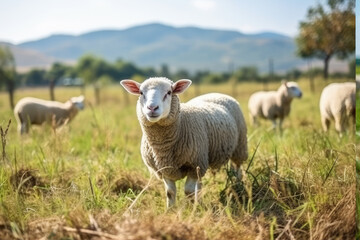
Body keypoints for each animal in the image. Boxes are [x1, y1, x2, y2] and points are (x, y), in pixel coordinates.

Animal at [121, 77, 248, 208]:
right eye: (141, 93)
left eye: (169, 92)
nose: (152, 108)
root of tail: (216, 93)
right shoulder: (164, 169)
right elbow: (170, 192)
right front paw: (170, 210)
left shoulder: (193, 164)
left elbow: (188, 191)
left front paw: (192, 209)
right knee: (200, 182)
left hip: (239, 146)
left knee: (238, 169)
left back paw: (239, 188)